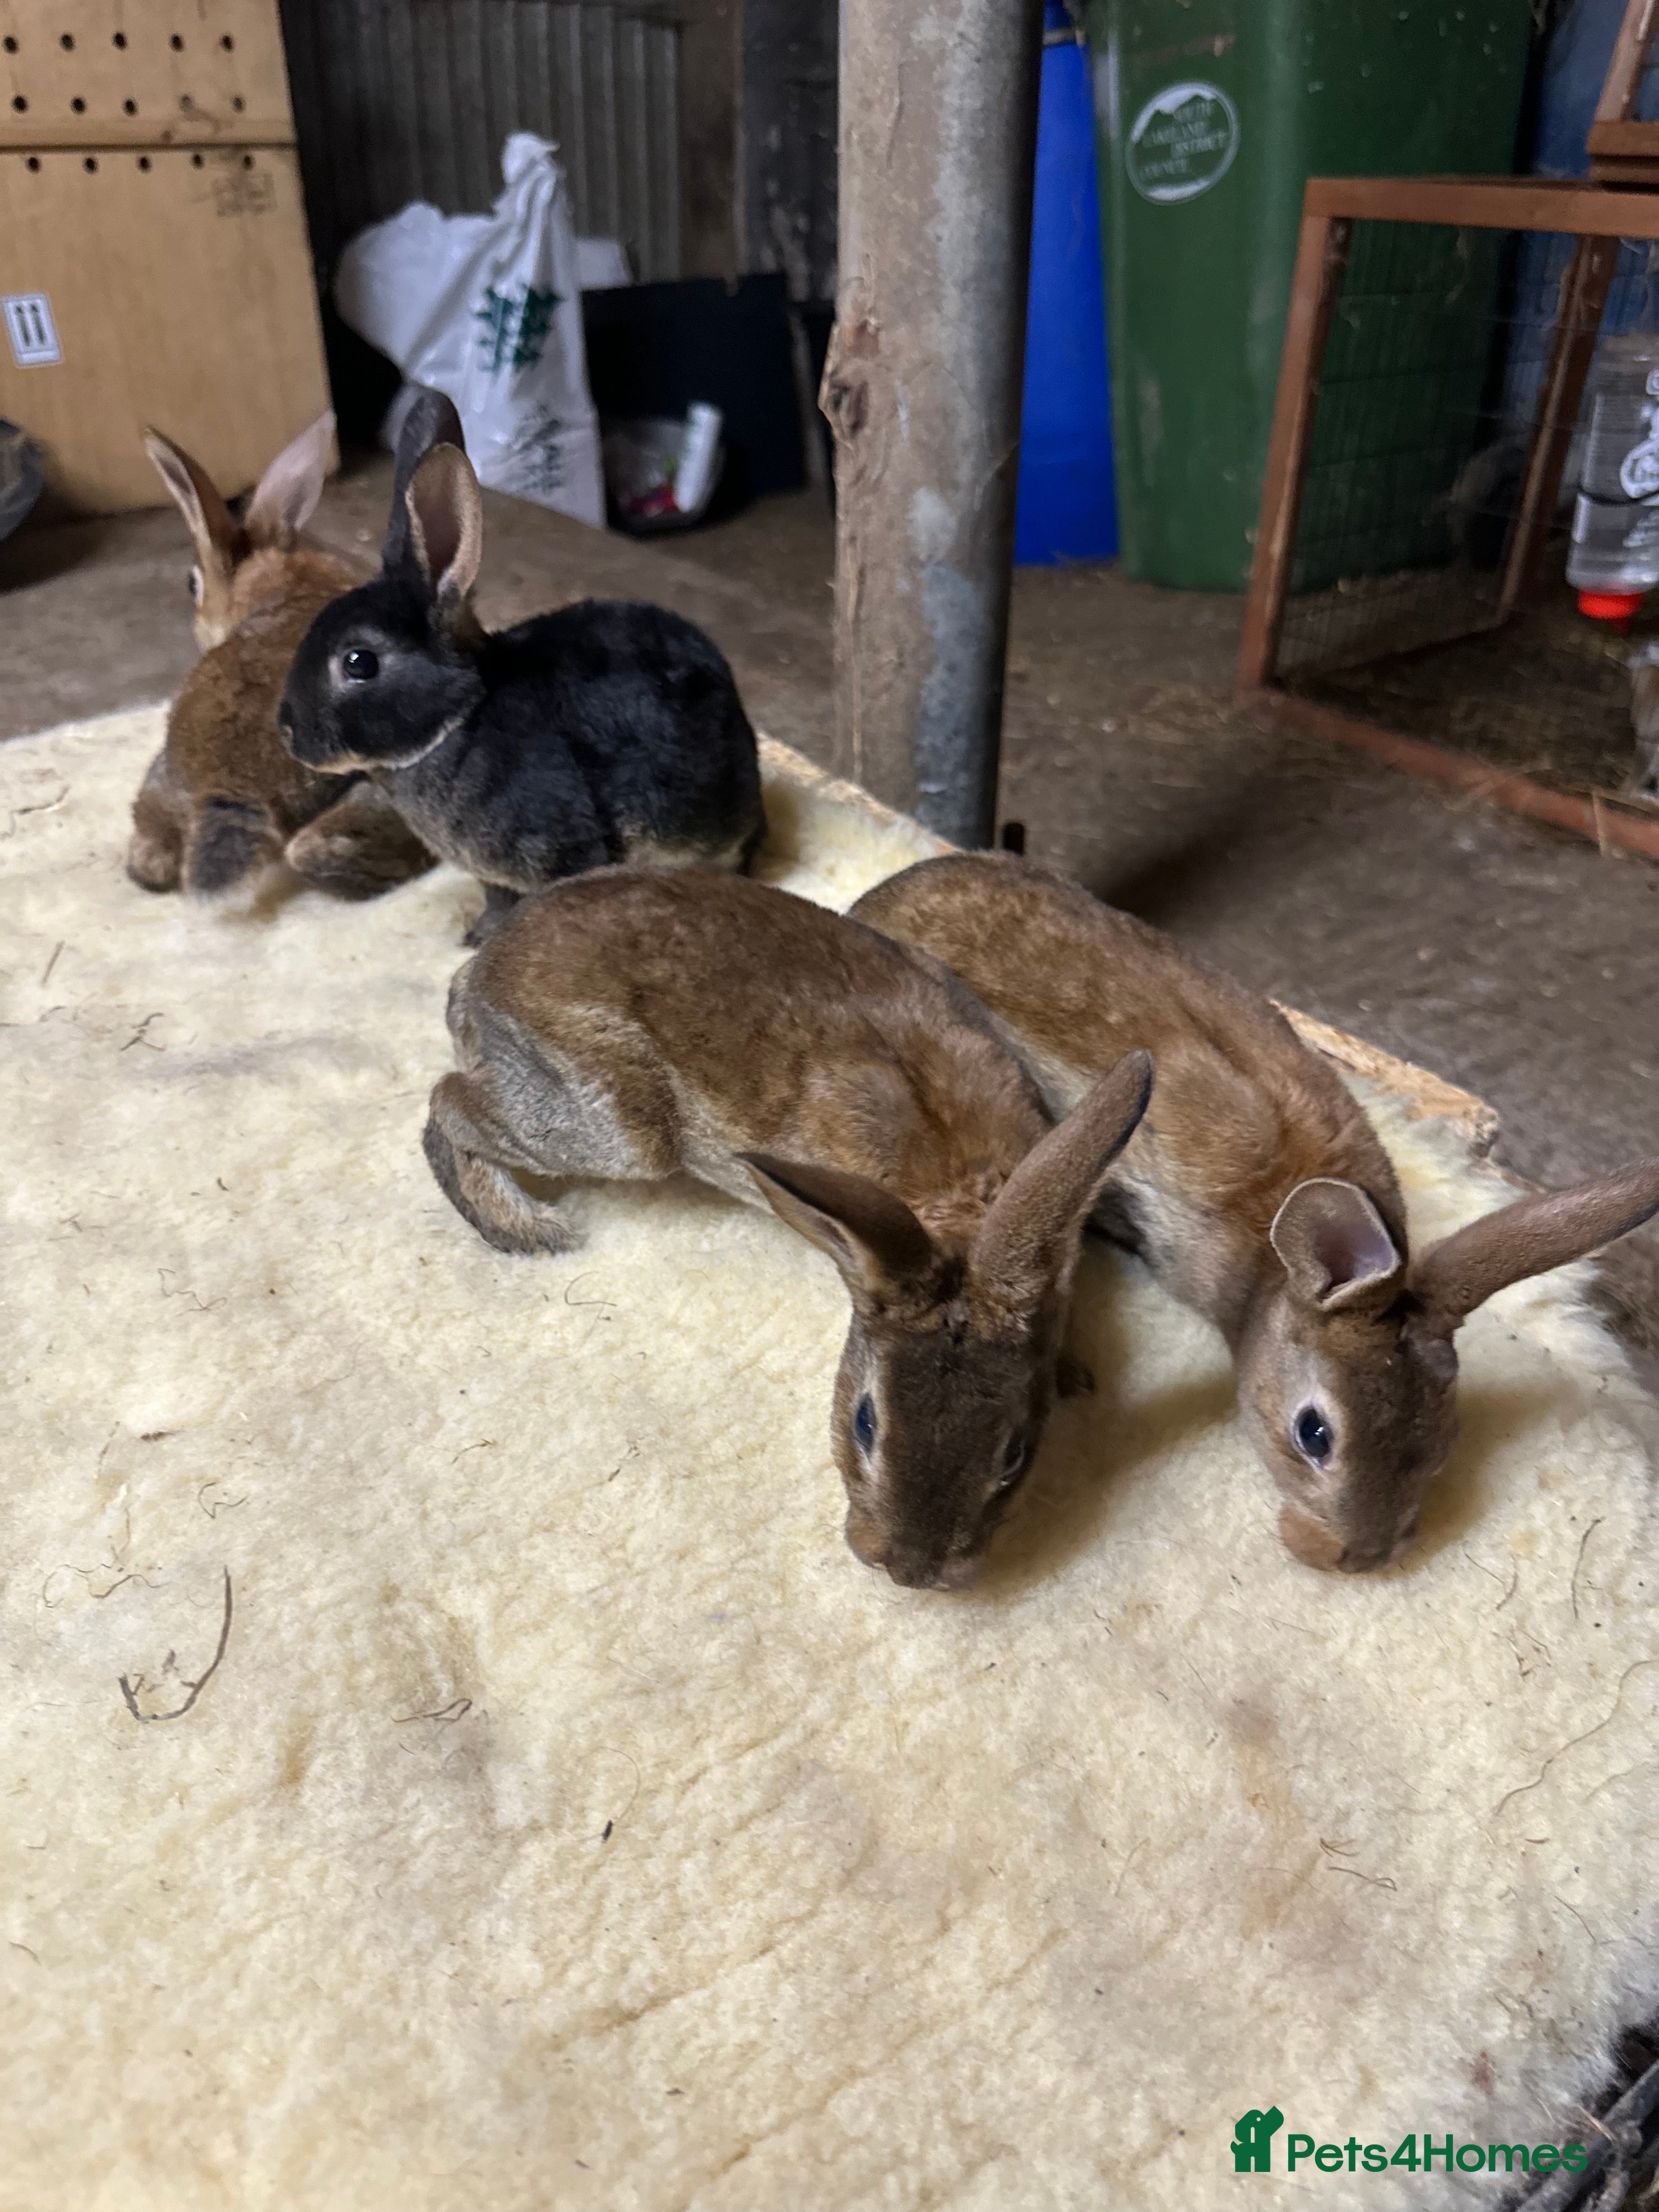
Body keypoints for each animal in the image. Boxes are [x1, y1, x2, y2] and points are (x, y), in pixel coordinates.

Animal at [277, 391, 767, 946]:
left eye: (359, 662)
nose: (289, 734)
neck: (461, 717)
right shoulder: (493, 877)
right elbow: (496, 902)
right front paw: (475, 939)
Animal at [420, 867, 1154, 1589]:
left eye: (1015, 1455)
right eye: (865, 1423)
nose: (910, 1573)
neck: (959, 1207)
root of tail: (480, 974)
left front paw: (1072, 1373)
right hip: (615, 1127)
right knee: (447, 1104)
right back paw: (528, 1229)